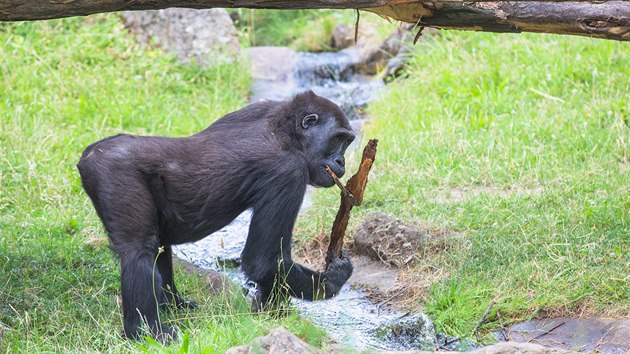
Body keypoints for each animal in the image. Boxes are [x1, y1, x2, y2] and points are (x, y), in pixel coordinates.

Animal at [75, 90, 356, 340]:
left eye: (347, 142)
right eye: (337, 140)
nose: (341, 162)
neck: (287, 132)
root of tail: (90, 153)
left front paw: (272, 310)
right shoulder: (289, 172)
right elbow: (264, 260)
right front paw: (333, 280)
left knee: (158, 245)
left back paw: (172, 305)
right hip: (113, 172)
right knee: (139, 249)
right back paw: (146, 332)